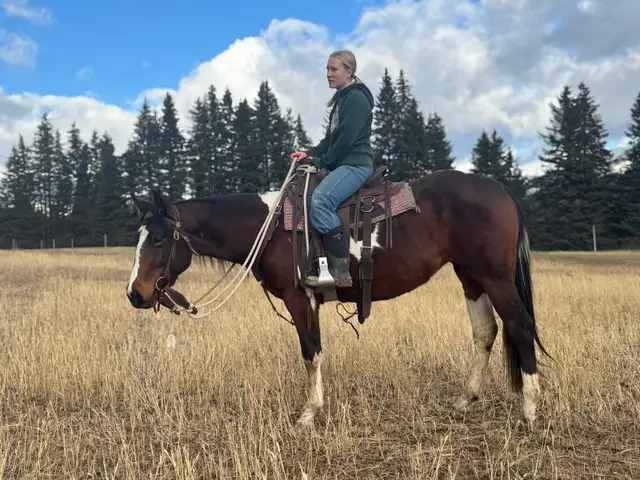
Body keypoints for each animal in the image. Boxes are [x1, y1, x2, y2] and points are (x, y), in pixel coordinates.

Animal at [125, 166, 550, 428]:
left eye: (159, 238)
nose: (135, 294)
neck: (271, 227)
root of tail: (500, 189)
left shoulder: (300, 299)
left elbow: (311, 352)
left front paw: (308, 414)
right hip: (470, 276)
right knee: (486, 332)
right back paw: (466, 399)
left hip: (495, 277)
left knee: (519, 326)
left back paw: (529, 409)